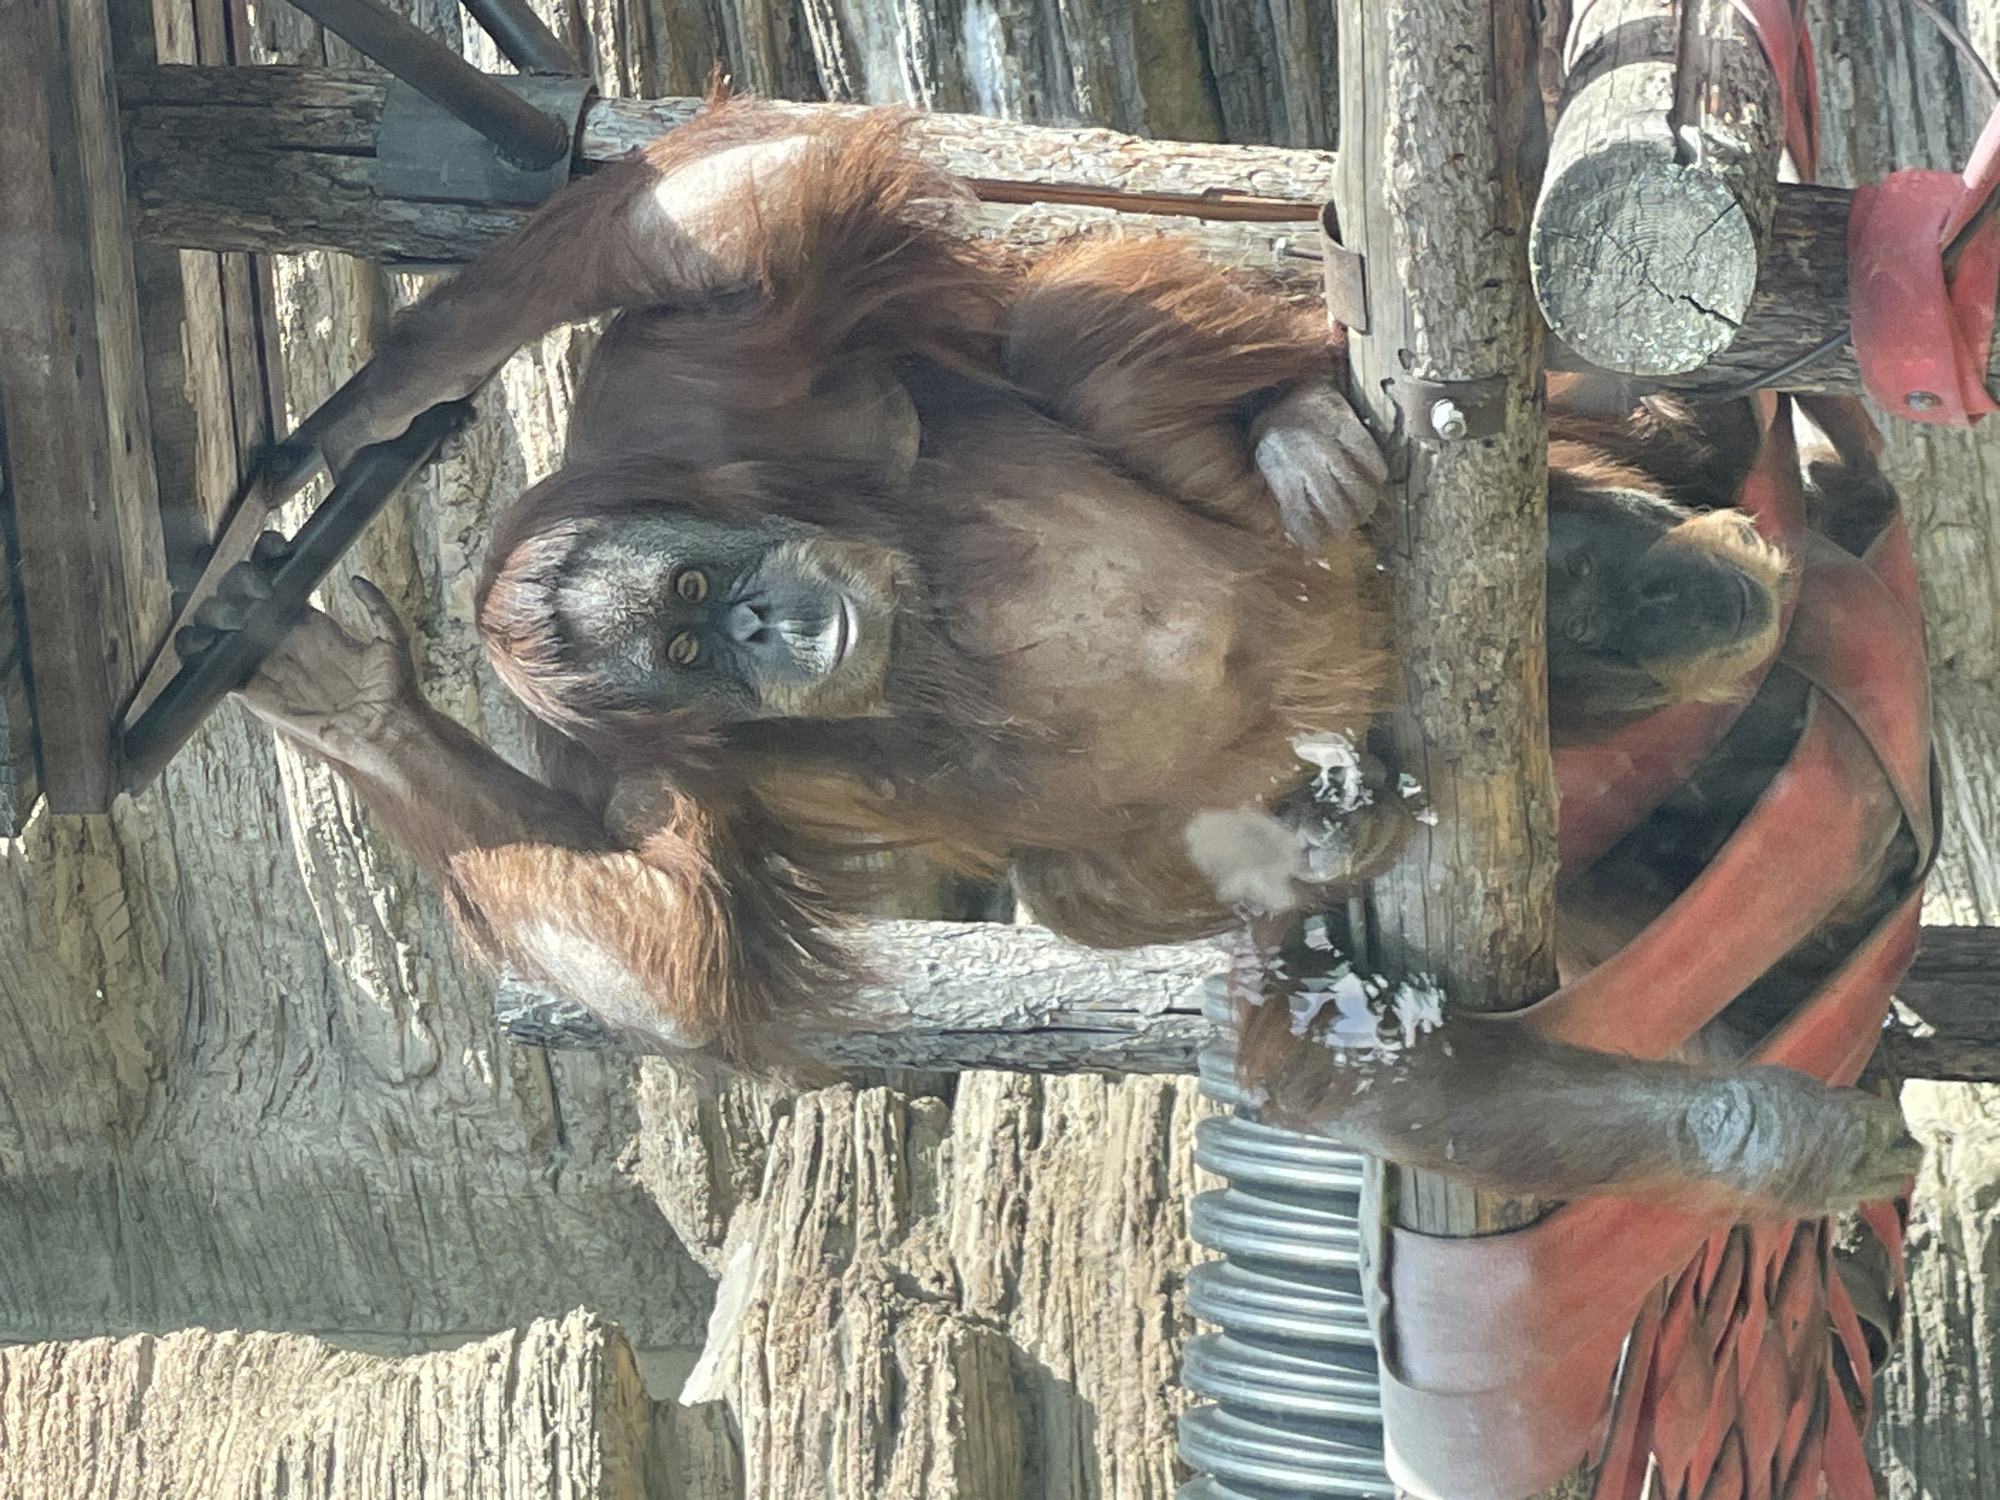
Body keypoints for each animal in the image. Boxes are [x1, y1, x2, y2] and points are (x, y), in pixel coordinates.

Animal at [219, 99, 1918, 1220]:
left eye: (698, 589)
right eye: (690, 640)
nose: (768, 626)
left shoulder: (693, 406)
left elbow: (735, 212)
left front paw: (373, 404)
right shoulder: (645, 763)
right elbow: (676, 952)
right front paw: (353, 712)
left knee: (1073, 329)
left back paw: (1309, 446)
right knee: (1211, 969)